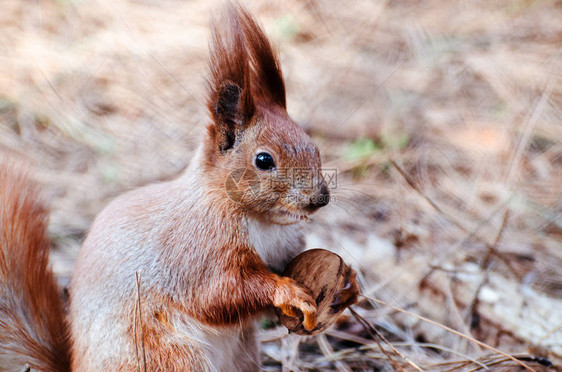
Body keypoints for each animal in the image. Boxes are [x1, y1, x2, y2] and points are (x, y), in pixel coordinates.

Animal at [0, 3, 358, 372]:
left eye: (314, 147)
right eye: (263, 160)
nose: (320, 199)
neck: (262, 220)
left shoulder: (282, 246)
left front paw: (347, 282)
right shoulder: (197, 250)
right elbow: (219, 293)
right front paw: (287, 292)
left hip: (242, 355)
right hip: (169, 355)